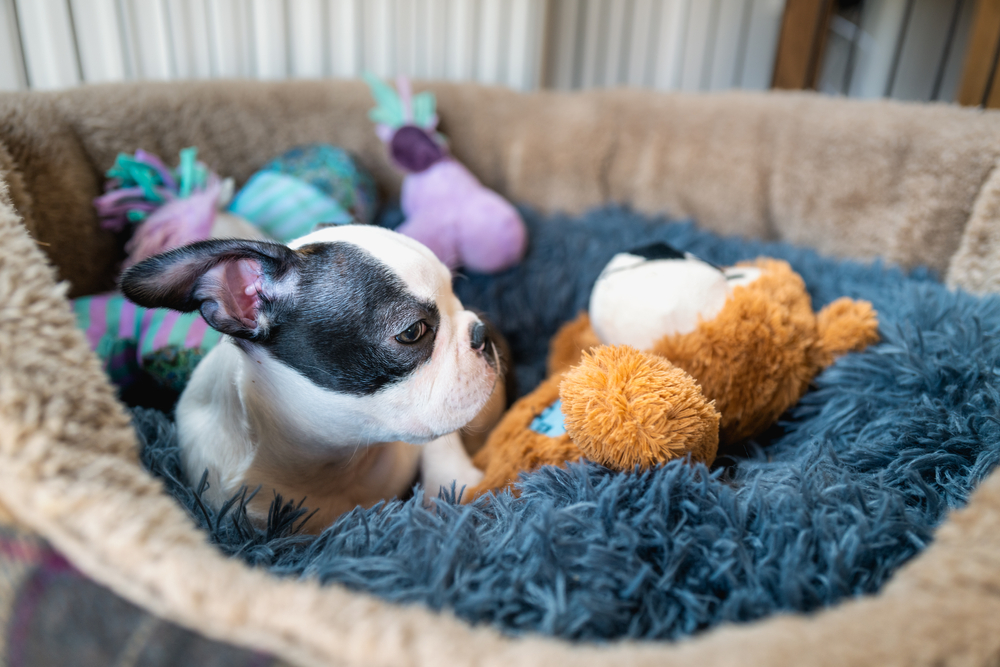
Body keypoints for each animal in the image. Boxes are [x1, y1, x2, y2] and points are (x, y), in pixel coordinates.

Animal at [120, 224, 504, 532]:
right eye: (413, 332)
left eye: (456, 295)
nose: (482, 333)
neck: (340, 461)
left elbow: (442, 446)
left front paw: (459, 486)